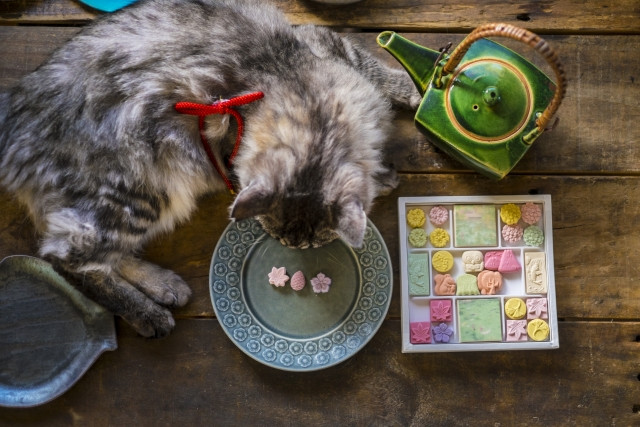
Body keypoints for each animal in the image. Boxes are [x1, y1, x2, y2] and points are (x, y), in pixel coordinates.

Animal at [0, 0, 419, 337]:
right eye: (286, 243)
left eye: (311, 245)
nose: (291, 249)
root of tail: (16, 111)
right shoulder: (324, 45)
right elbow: (378, 72)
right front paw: (415, 96)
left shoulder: (329, 47)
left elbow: (378, 75)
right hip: (141, 193)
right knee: (66, 258)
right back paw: (149, 313)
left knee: (98, 256)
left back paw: (164, 286)